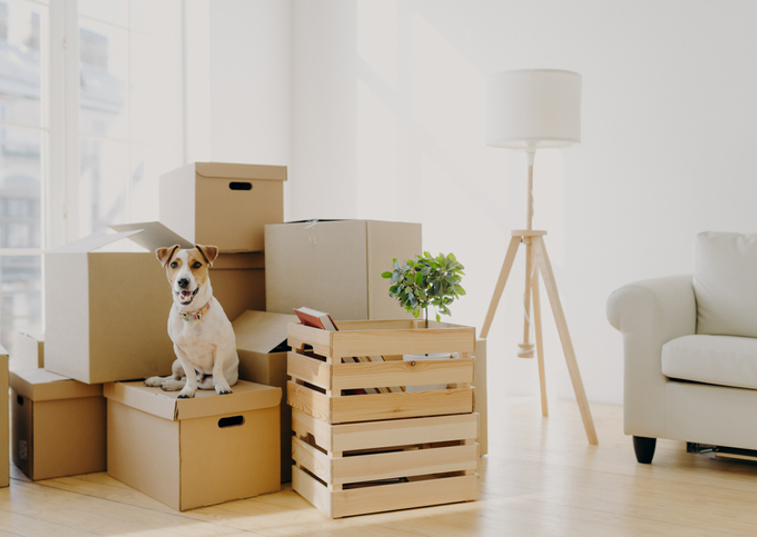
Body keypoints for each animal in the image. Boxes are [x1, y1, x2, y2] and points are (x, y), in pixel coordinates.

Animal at [145, 244, 239, 398]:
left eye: (197, 264)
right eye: (173, 264)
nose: (183, 281)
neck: (192, 314)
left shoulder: (219, 346)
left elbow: (217, 369)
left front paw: (222, 387)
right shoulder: (179, 350)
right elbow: (189, 373)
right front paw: (188, 390)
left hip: (208, 381)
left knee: (198, 383)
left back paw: (169, 385)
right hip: (176, 363)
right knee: (178, 377)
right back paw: (159, 381)